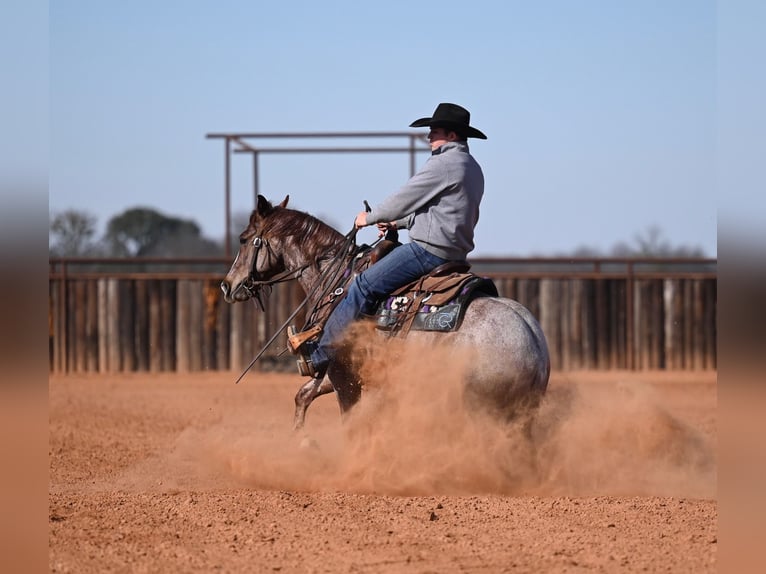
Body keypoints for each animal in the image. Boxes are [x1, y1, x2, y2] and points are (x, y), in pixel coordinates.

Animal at [220, 194, 551, 430]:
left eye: (244, 239)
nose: (226, 285)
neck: (337, 280)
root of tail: (533, 347)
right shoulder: (337, 372)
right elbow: (303, 395)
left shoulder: (343, 375)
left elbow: (349, 420)